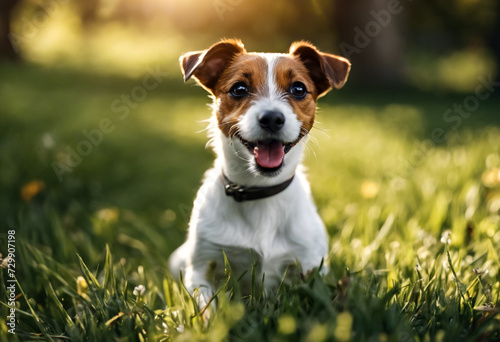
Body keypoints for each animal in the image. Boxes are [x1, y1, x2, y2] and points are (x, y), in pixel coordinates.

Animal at [170, 39, 350, 308]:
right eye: (239, 89)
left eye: (298, 89)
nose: (272, 118)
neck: (259, 192)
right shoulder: (201, 268)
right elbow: (206, 306)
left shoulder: (311, 268)